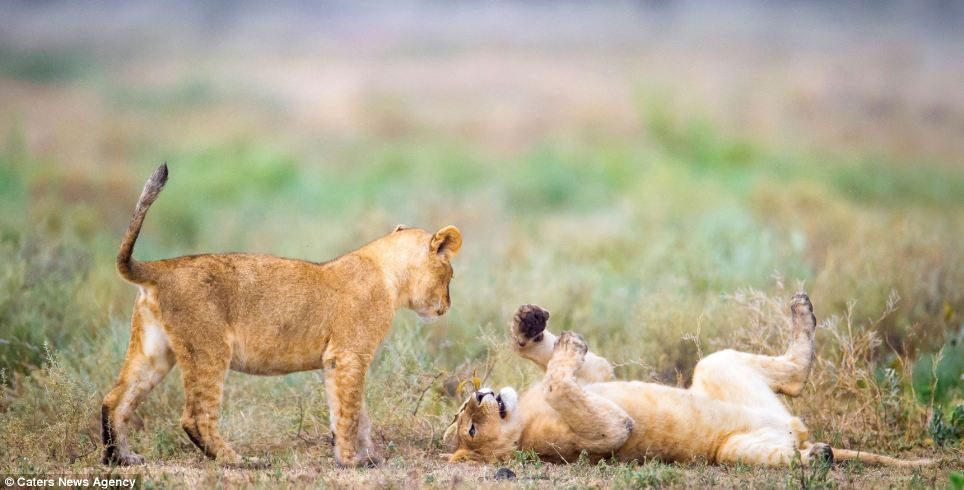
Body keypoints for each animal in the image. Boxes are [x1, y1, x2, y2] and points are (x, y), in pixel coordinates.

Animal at [102, 164, 462, 467]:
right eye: (450, 276)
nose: (447, 306)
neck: (388, 272)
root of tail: (159, 268)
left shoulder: (337, 360)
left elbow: (355, 413)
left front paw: (366, 456)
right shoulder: (348, 355)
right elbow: (349, 412)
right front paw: (351, 461)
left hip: (154, 350)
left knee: (115, 399)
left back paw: (120, 458)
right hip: (209, 349)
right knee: (195, 416)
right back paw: (240, 461)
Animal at [445, 294, 934, 467]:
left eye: (462, 417)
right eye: (470, 429)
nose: (480, 394)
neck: (521, 415)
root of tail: (794, 428)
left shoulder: (598, 378)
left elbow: (561, 365)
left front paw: (529, 325)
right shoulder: (600, 435)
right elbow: (565, 390)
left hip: (715, 365)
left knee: (795, 375)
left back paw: (802, 311)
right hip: (737, 451)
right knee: (792, 445)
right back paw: (818, 455)